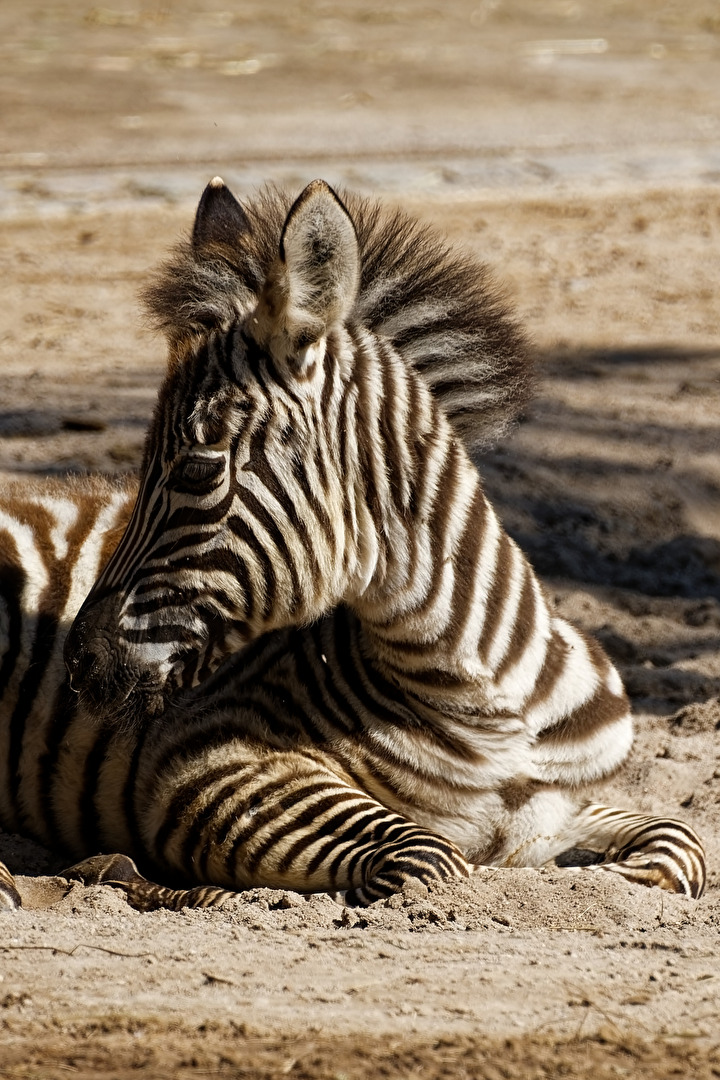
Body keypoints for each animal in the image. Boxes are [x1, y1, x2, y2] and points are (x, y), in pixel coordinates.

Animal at [53, 177, 704, 907]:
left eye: (197, 469)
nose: (78, 662)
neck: (491, 704)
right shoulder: (195, 760)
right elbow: (437, 858)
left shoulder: (580, 803)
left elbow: (678, 844)